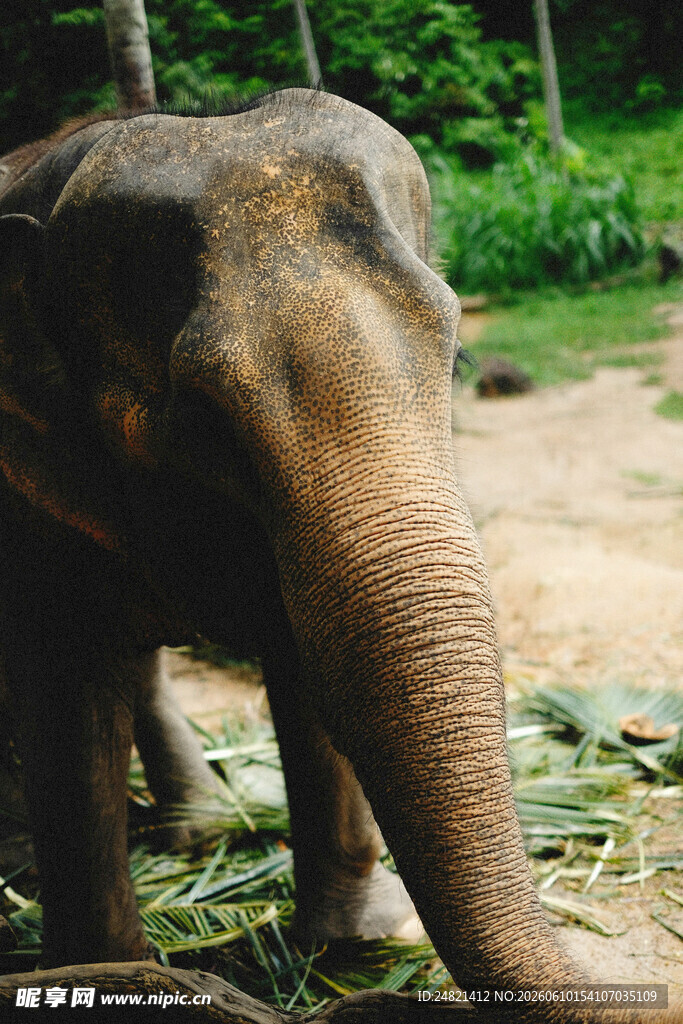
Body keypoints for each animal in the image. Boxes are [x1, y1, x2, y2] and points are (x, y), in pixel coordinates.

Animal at [0, 88, 677, 1022]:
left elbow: (306, 657)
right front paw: (106, 977)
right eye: (201, 419)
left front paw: (356, 940)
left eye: (456, 359)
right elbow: (65, 695)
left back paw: (199, 829)